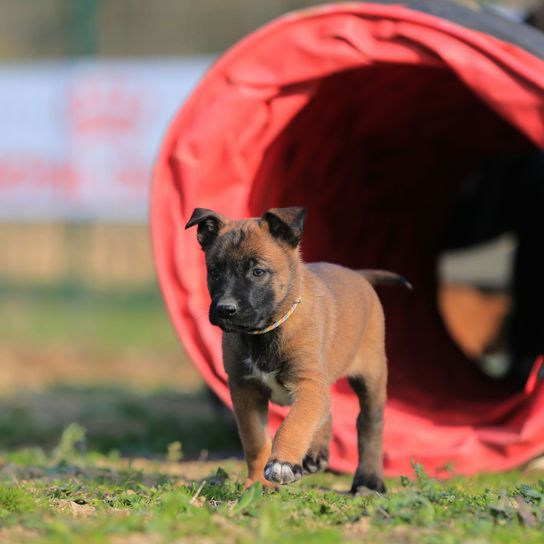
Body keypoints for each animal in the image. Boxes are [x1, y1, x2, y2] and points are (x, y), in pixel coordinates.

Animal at [185, 205, 410, 492]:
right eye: (214, 271)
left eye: (258, 272)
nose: (225, 309)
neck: (265, 331)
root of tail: (358, 275)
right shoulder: (245, 391)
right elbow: (255, 439)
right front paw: (257, 482)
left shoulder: (307, 383)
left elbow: (295, 423)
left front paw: (282, 463)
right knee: (328, 410)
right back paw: (317, 453)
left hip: (372, 375)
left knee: (369, 423)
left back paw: (369, 480)